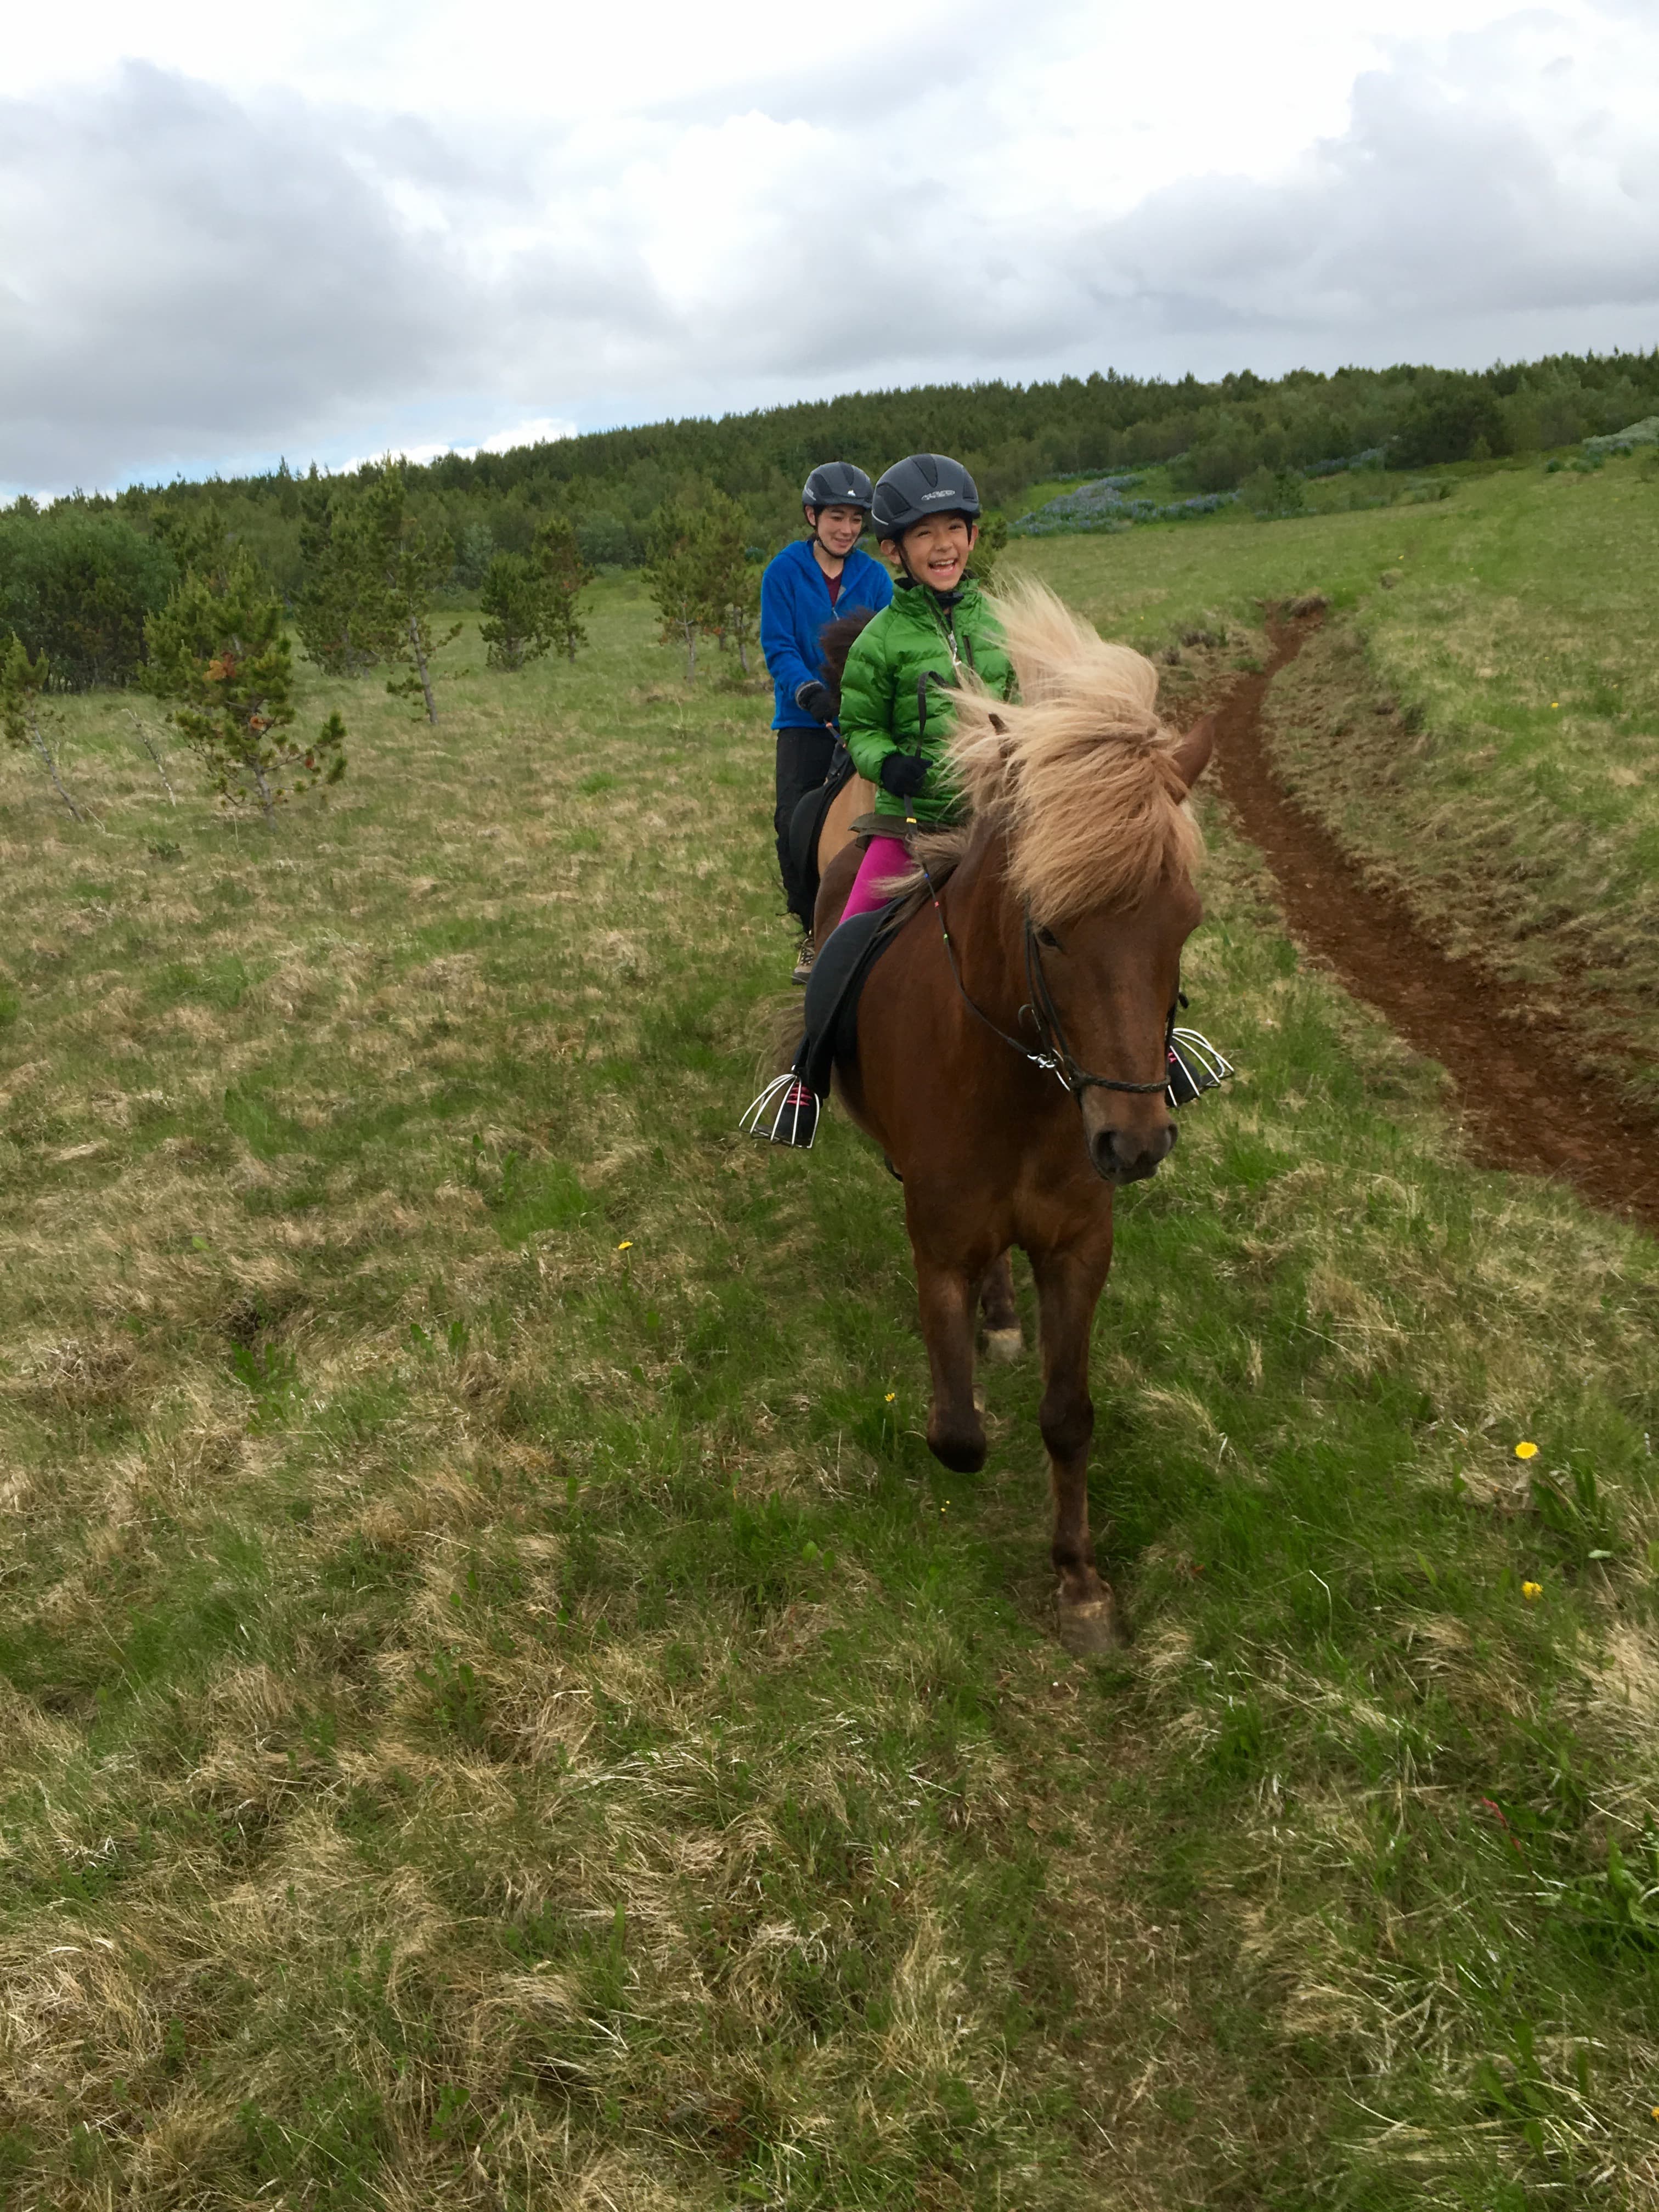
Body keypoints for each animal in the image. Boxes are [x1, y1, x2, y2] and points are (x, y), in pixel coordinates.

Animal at [811, 580, 1215, 1652]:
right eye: (1048, 927)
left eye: (1186, 920)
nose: (1133, 1143)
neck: (1020, 1092)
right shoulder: (938, 1241)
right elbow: (956, 1435)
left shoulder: (1078, 1246)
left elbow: (1067, 1415)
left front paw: (1079, 1583)